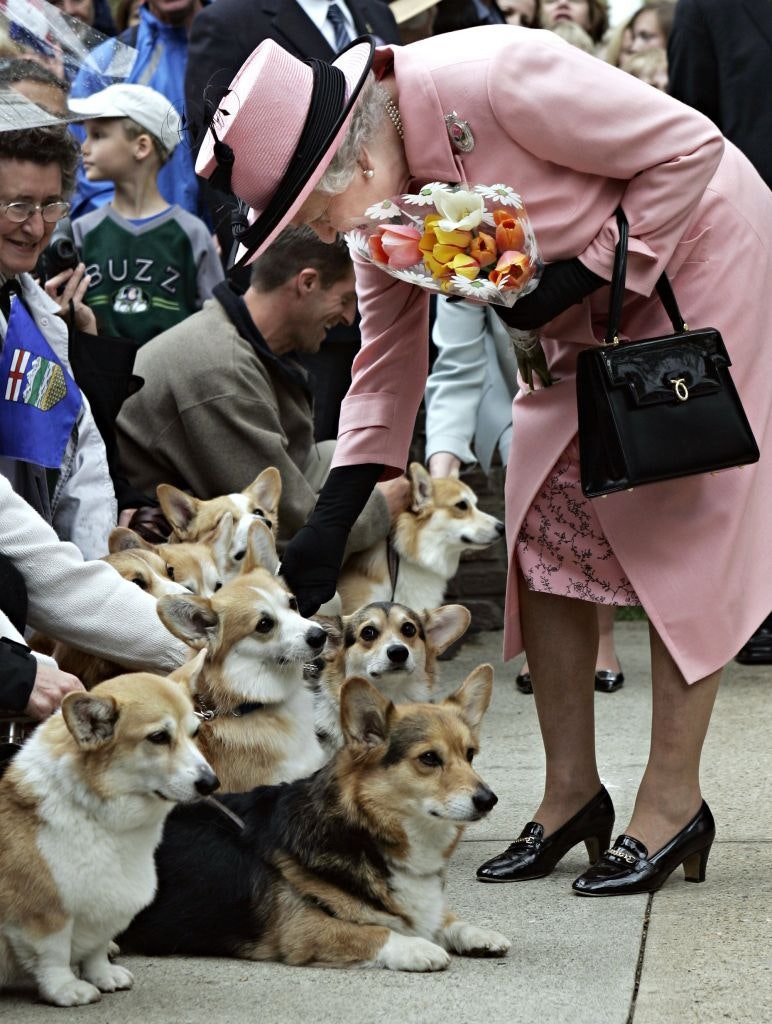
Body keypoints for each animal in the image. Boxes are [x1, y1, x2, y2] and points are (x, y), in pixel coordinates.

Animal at [0, 655, 218, 1007]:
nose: (212, 783)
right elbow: (53, 955)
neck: (97, 814)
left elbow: (97, 947)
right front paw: (67, 989)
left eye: (195, 732)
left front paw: (103, 975)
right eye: (158, 737)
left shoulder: (107, 906)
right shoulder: (42, 913)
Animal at [120, 659, 507, 970]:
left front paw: (476, 933)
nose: (488, 799)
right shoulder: (302, 930)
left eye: (470, 755)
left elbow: (443, 919)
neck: (365, 830)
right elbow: (375, 932)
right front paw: (418, 948)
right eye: (429, 758)